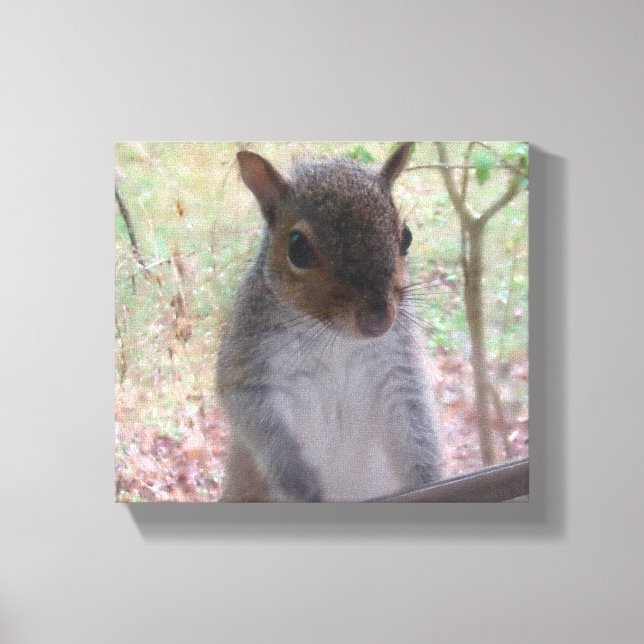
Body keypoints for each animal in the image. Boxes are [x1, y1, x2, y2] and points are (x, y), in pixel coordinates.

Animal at [216, 143, 441, 502]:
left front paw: (427, 479)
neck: (336, 339)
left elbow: (415, 427)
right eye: (297, 248)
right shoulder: (249, 364)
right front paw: (304, 486)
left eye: (406, 237)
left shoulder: (396, 363)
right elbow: (263, 427)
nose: (377, 321)